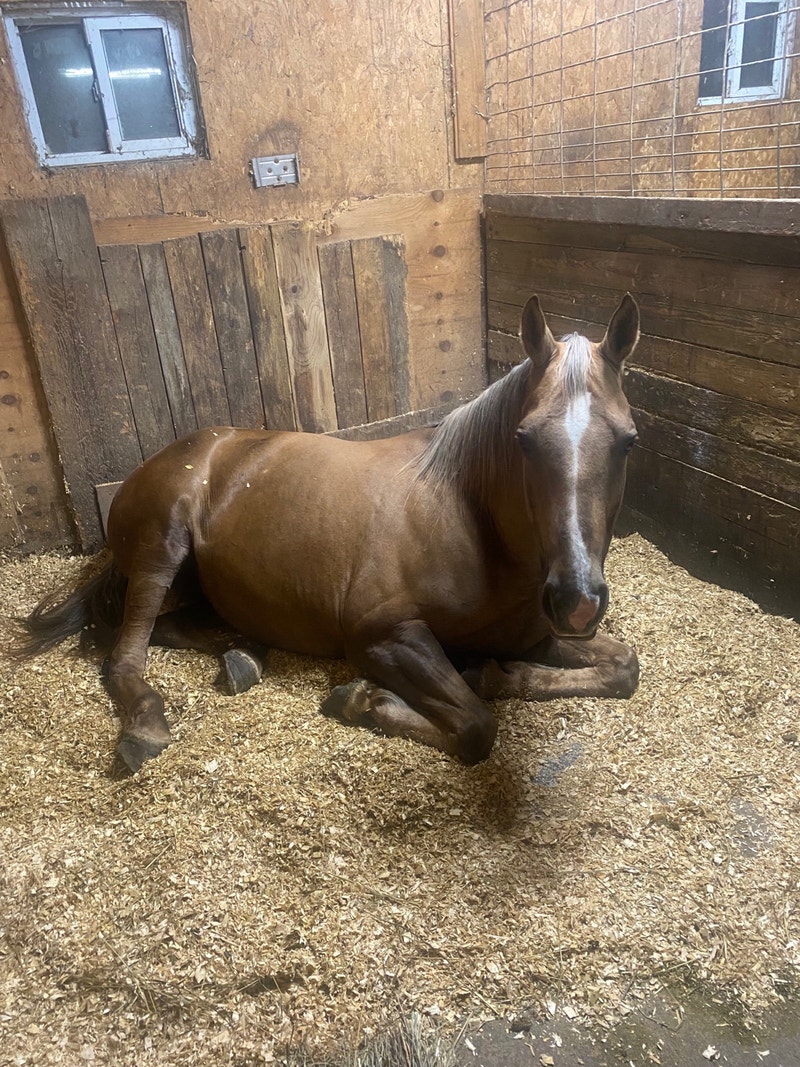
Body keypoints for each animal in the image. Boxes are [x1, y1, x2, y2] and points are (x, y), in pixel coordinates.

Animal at [18, 294, 641, 773]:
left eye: (628, 441)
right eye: (524, 439)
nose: (577, 600)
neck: (468, 519)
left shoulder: (533, 635)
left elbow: (624, 668)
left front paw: (495, 672)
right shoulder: (381, 635)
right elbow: (475, 726)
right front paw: (364, 702)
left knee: (160, 628)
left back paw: (242, 656)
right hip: (161, 547)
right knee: (125, 653)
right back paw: (146, 725)